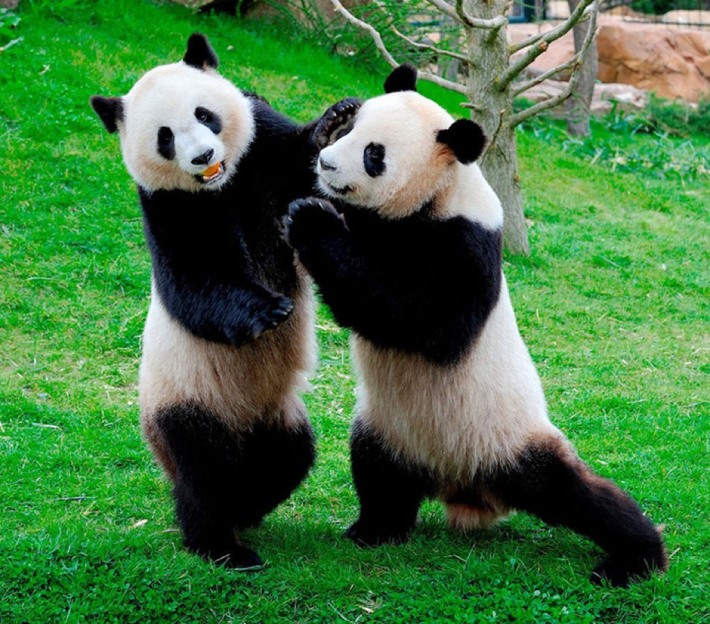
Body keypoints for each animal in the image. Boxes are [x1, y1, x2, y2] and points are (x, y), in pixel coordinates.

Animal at [90, 34, 322, 569]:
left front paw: (335, 123)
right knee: (204, 470)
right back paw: (220, 543)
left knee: (288, 456)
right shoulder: (169, 206)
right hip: (186, 396)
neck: (223, 184)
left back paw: (246, 509)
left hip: (277, 414)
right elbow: (194, 282)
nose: (202, 157)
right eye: (165, 137)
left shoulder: (264, 145)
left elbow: (308, 174)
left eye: (205, 115)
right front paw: (269, 310)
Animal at [285, 64, 668, 587]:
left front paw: (311, 221)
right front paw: (324, 126)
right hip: (389, 428)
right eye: (351, 131)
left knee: (579, 495)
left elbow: (420, 322)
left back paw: (636, 557)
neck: (435, 195)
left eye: (373, 154)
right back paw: (374, 530)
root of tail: (464, 485)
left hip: (508, 437)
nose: (326, 164)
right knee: (378, 474)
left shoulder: (467, 244)